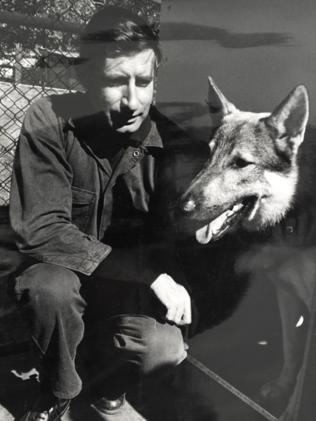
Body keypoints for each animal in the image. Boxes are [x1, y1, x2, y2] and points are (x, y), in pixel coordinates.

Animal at [177, 77, 314, 406]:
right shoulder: (286, 294)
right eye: (209, 155)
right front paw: (282, 390)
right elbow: (292, 353)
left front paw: (291, 408)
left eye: (241, 163)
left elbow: (305, 381)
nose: (182, 207)